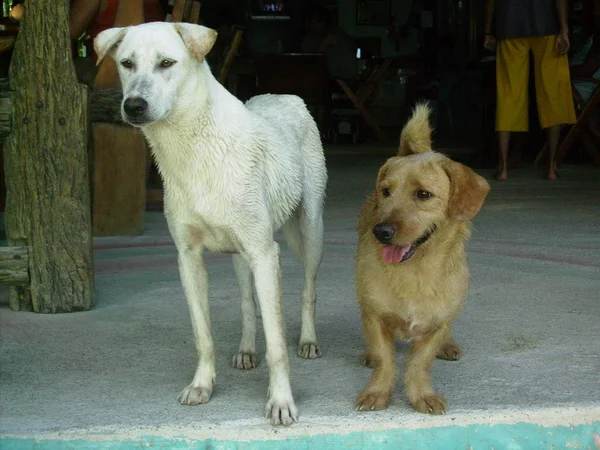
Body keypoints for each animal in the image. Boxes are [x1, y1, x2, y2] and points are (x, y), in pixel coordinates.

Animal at [95, 22, 328, 428]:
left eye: (167, 63)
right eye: (126, 63)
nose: (133, 106)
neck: (192, 150)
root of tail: (284, 93)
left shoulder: (265, 253)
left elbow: (277, 346)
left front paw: (281, 401)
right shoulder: (189, 258)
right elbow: (203, 336)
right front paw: (202, 385)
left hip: (310, 232)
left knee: (307, 292)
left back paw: (308, 341)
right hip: (240, 255)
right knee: (247, 302)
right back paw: (246, 349)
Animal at [354, 104, 490, 414]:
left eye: (424, 194)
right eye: (386, 192)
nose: (381, 231)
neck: (415, 272)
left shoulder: (436, 325)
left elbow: (419, 363)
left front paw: (421, 394)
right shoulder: (375, 316)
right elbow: (385, 358)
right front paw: (378, 391)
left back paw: (448, 345)